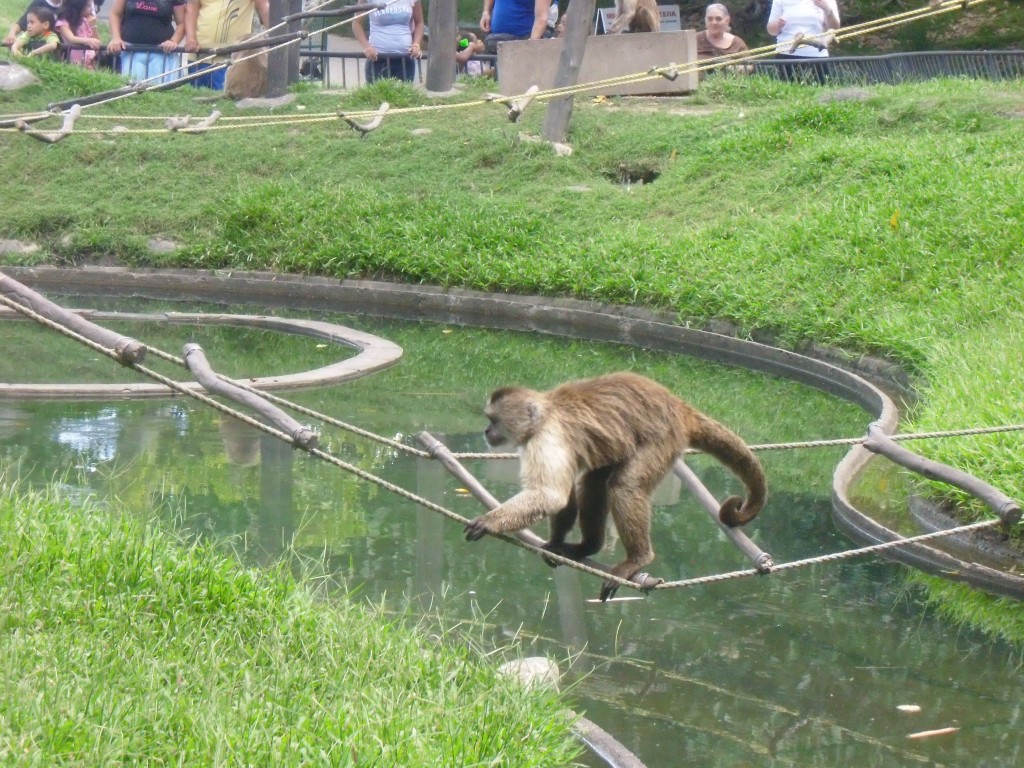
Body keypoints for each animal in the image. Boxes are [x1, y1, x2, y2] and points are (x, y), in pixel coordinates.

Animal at [464, 372, 766, 601]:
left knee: (624, 485)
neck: (545, 413)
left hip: (662, 439)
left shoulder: (547, 436)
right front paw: (556, 543)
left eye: (494, 421)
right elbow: (563, 496)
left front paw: (489, 522)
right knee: (593, 481)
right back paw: (588, 547)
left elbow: (550, 495)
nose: (486, 432)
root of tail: (679, 407)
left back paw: (638, 559)